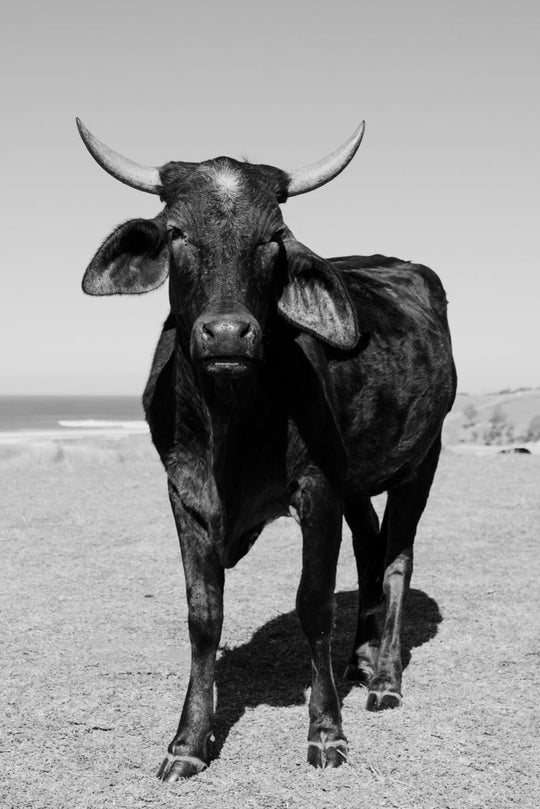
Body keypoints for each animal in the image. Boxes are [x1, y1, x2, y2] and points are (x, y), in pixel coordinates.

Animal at [76, 117, 456, 780]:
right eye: (176, 231)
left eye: (274, 238)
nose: (228, 333)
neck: (232, 423)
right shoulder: (184, 493)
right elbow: (204, 617)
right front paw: (188, 742)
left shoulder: (318, 488)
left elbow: (314, 605)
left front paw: (327, 731)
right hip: (357, 479)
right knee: (370, 548)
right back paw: (360, 659)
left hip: (421, 460)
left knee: (398, 557)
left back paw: (384, 677)